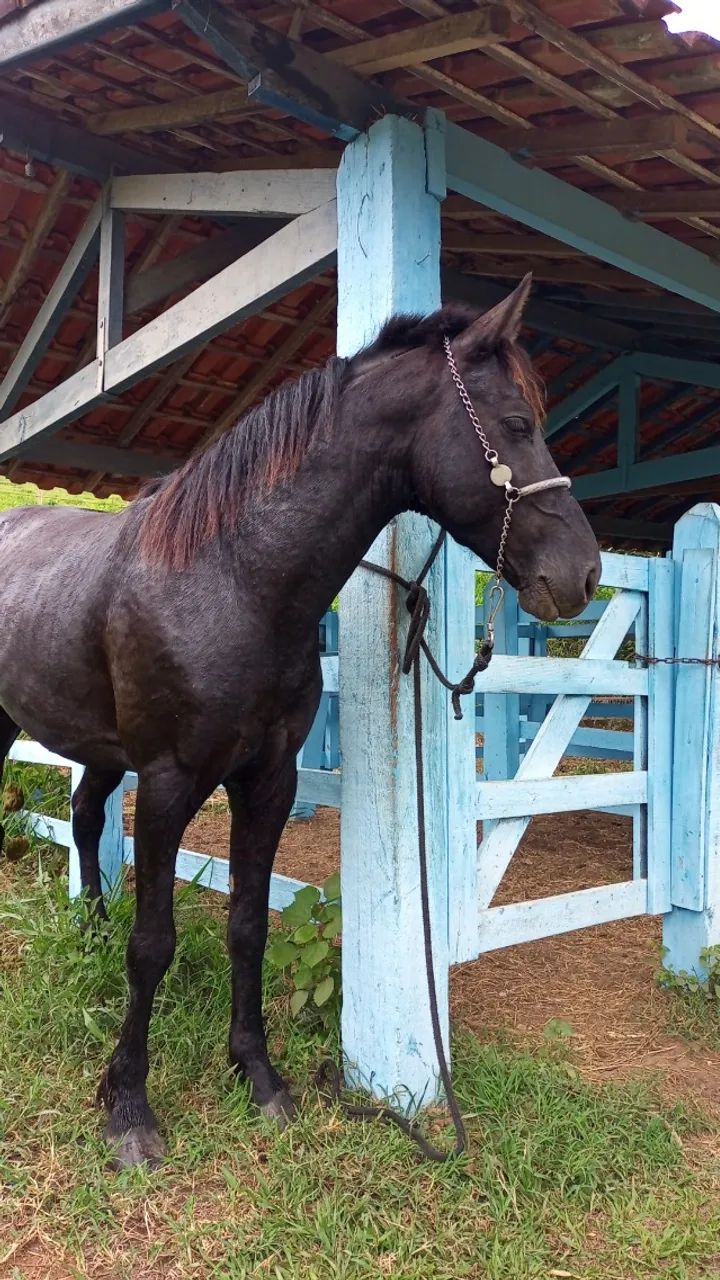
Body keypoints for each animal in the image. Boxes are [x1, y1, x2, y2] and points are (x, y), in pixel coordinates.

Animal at [0, 278, 600, 1167]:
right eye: (518, 424)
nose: (583, 573)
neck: (231, 579)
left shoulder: (269, 779)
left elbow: (248, 925)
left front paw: (258, 1077)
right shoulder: (170, 784)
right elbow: (155, 944)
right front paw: (130, 1107)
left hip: (100, 750)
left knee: (80, 818)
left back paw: (90, 940)